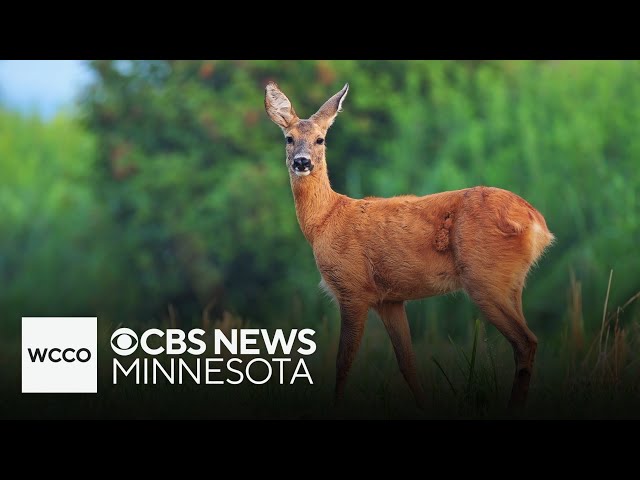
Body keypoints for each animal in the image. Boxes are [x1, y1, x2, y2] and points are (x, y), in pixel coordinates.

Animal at [264, 79, 556, 408]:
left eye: (320, 139)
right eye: (289, 138)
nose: (302, 162)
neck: (325, 219)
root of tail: (536, 222)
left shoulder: (352, 287)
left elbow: (343, 361)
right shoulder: (389, 299)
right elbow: (407, 362)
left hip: (484, 277)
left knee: (525, 341)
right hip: (512, 283)